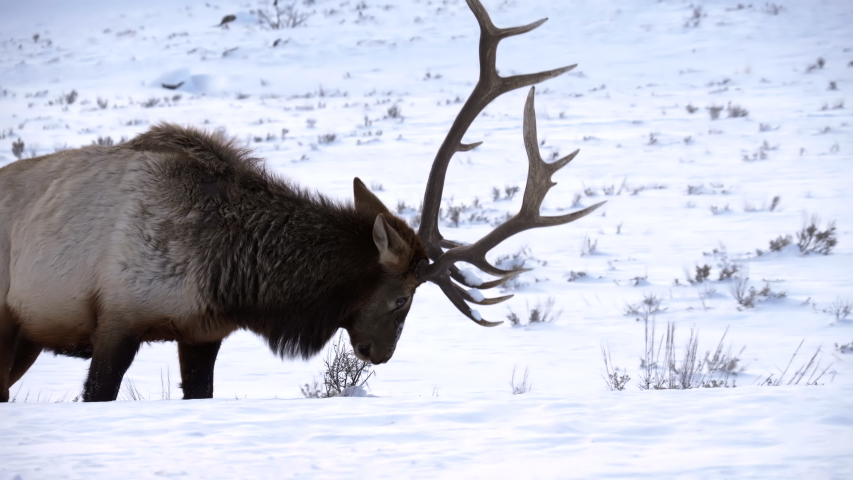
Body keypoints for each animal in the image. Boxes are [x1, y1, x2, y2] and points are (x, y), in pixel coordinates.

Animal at [0, 0, 604, 404]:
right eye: (403, 299)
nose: (379, 354)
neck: (229, 274)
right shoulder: (116, 320)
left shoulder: (201, 334)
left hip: (24, 340)